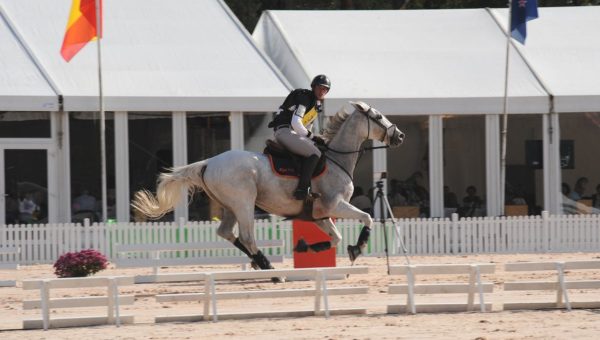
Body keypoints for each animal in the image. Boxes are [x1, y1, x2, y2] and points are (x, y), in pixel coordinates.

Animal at [131, 101, 404, 274]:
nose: (400, 136)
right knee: (247, 236)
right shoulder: (335, 204)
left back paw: (258, 262)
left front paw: (305, 246)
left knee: (227, 233)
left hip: (230, 207)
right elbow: (367, 217)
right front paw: (357, 248)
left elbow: (335, 238)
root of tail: (209, 162)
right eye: (378, 117)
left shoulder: (319, 214)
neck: (337, 158)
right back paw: (268, 267)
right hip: (244, 203)